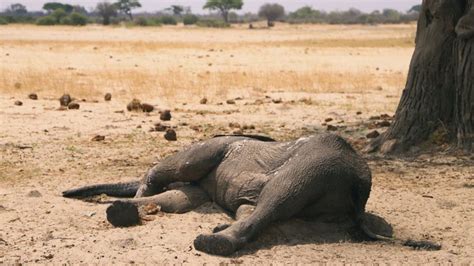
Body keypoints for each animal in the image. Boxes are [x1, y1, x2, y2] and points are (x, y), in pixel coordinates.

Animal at [62, 134, 388, 256]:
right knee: (279, 217)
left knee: (277, 197)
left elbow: (179, 168)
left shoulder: (212, 147)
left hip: (316, 166)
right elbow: (179, 198)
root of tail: (360, 185)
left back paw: (212, 243)